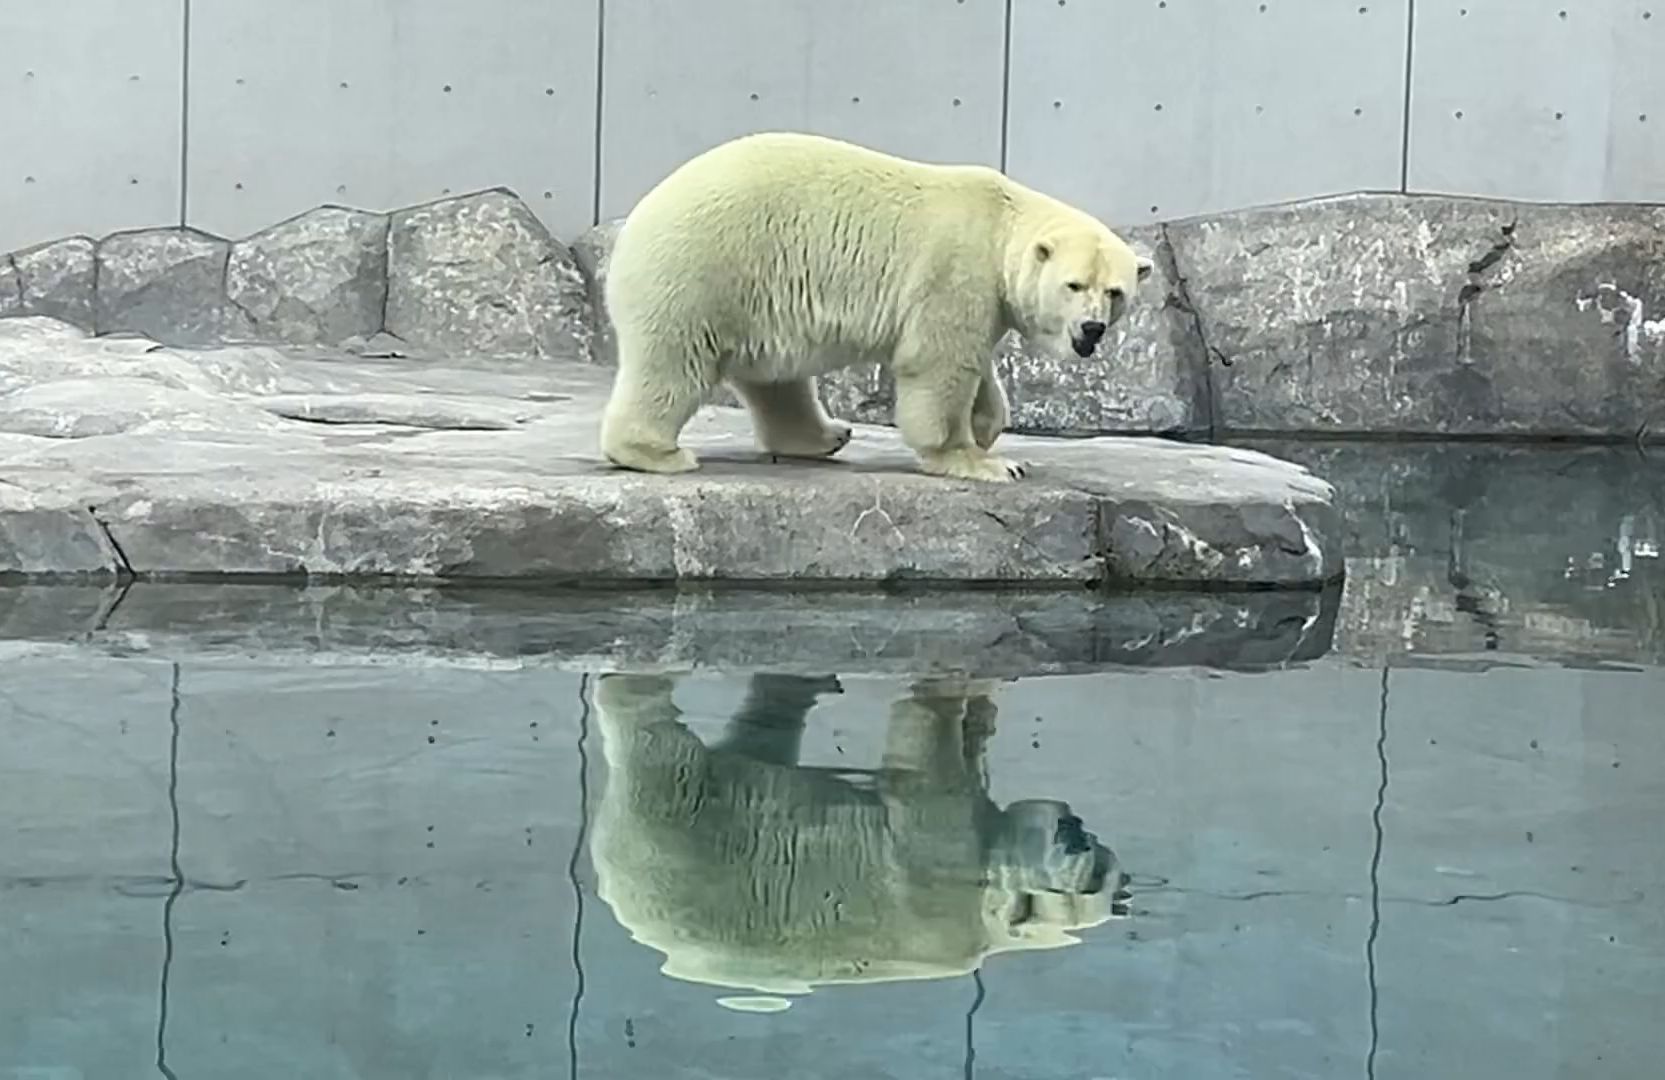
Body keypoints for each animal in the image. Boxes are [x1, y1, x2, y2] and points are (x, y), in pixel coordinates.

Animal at [589, 668, 1132, 1005]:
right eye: (1087, 877)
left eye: (1102, 874)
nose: (1080, 831)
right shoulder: (939, 884)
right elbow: (924, 757)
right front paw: (951, 692)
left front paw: (979, 717)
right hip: (676, 834)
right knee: (660, 743)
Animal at [599, 130, 1158, 479]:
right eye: (1073, 285)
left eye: (1115, 291)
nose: (1092, 329)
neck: (1000, 222)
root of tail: (633, 225)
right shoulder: (954, 273)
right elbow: (938, 363)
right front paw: (983, 461)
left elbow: (974, 361)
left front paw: (988, 425)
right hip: (702, 271)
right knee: (675, 364)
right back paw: (656, 453)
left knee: (776, 381)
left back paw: (825, 436)